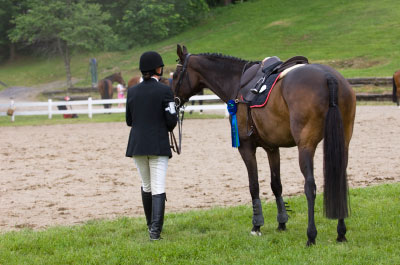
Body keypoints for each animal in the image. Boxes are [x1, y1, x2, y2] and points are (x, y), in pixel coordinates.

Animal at [172, 44, 356, 245]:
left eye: (175, 75)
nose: (173, 101)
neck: (238, 83)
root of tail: (329, 77)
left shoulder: (246, 147)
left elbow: (254, 186)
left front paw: (257, 225)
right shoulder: (272, 148)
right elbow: (276, 185)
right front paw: (282, 222)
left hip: (306, 146)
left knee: (310, 186)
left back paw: (311, 235)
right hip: (343, 142)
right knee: (338, 180)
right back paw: (341, 232)